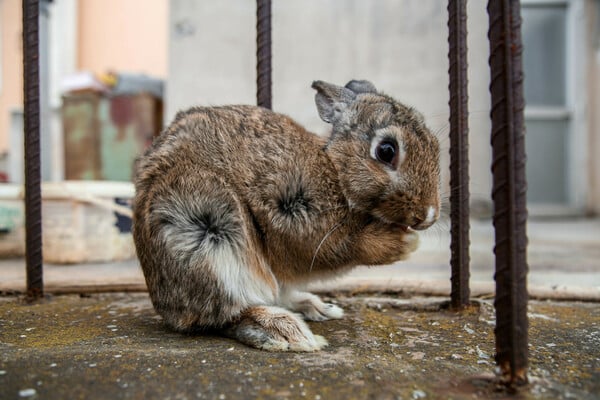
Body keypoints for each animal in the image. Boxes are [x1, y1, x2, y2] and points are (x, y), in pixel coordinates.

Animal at [132, 79, 440, 352]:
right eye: (386, 150)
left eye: (435, 144)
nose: (428, 215)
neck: (336, 171)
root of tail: (167, 308)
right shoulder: (298, 216)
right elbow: (345, 246)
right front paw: (405, 243)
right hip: (207, 235)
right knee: (226, 315)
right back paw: (287, 333)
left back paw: (319, 308)